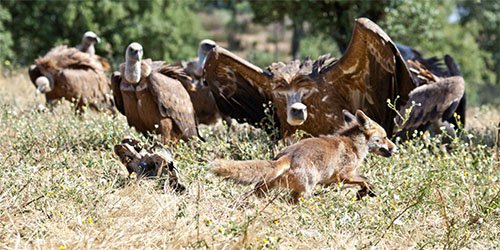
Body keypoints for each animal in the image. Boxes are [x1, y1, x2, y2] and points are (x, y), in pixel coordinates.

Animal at [211, 109, 398, 201]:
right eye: (384, 138)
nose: (396, 149)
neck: (354, 144)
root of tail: (288, 155)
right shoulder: (344, 175)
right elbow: (366, 180)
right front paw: (365, 193)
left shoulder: (331, 181)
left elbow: (365, 180)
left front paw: (364, 193)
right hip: (306, 190)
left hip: (266, 186)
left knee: (255, 193)